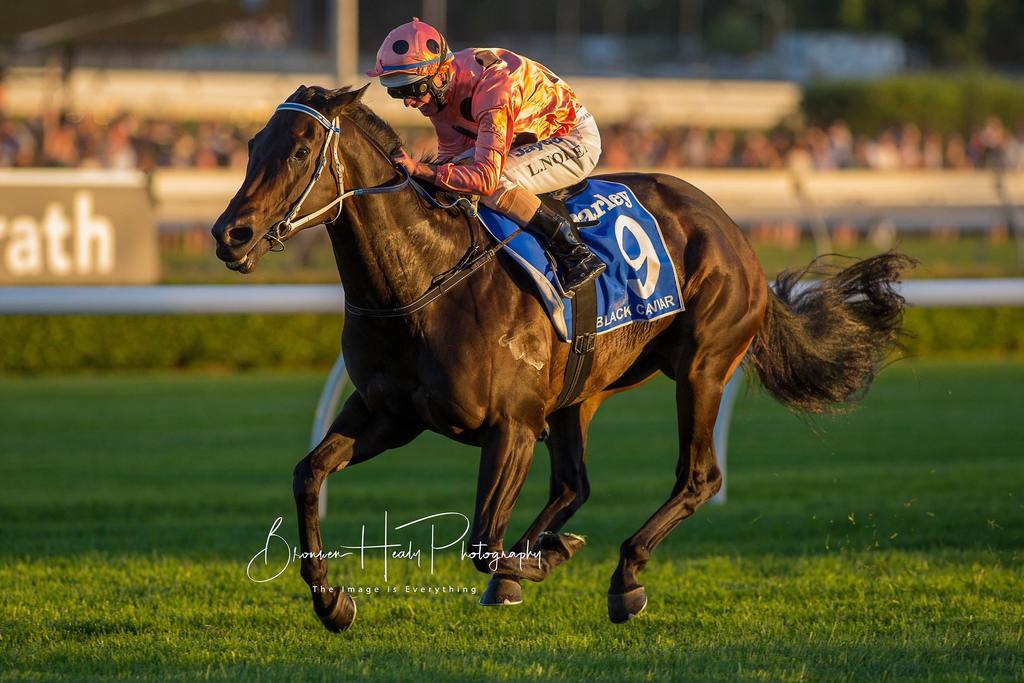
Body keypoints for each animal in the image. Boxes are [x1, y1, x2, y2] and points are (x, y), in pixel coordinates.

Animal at [209, 87, 913, 634]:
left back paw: (623, 576)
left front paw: (541, 562)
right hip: (582, 392)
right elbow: (308, 474)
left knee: (697, 477)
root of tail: (731, 227)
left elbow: (481, 541)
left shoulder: (512, 425)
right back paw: (541, 558)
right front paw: (332, 601)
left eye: (301, 150)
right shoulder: (388, 413)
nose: (228, 235)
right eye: (252, 146)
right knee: (574, 483)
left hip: (703, 367)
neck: (422, 280)